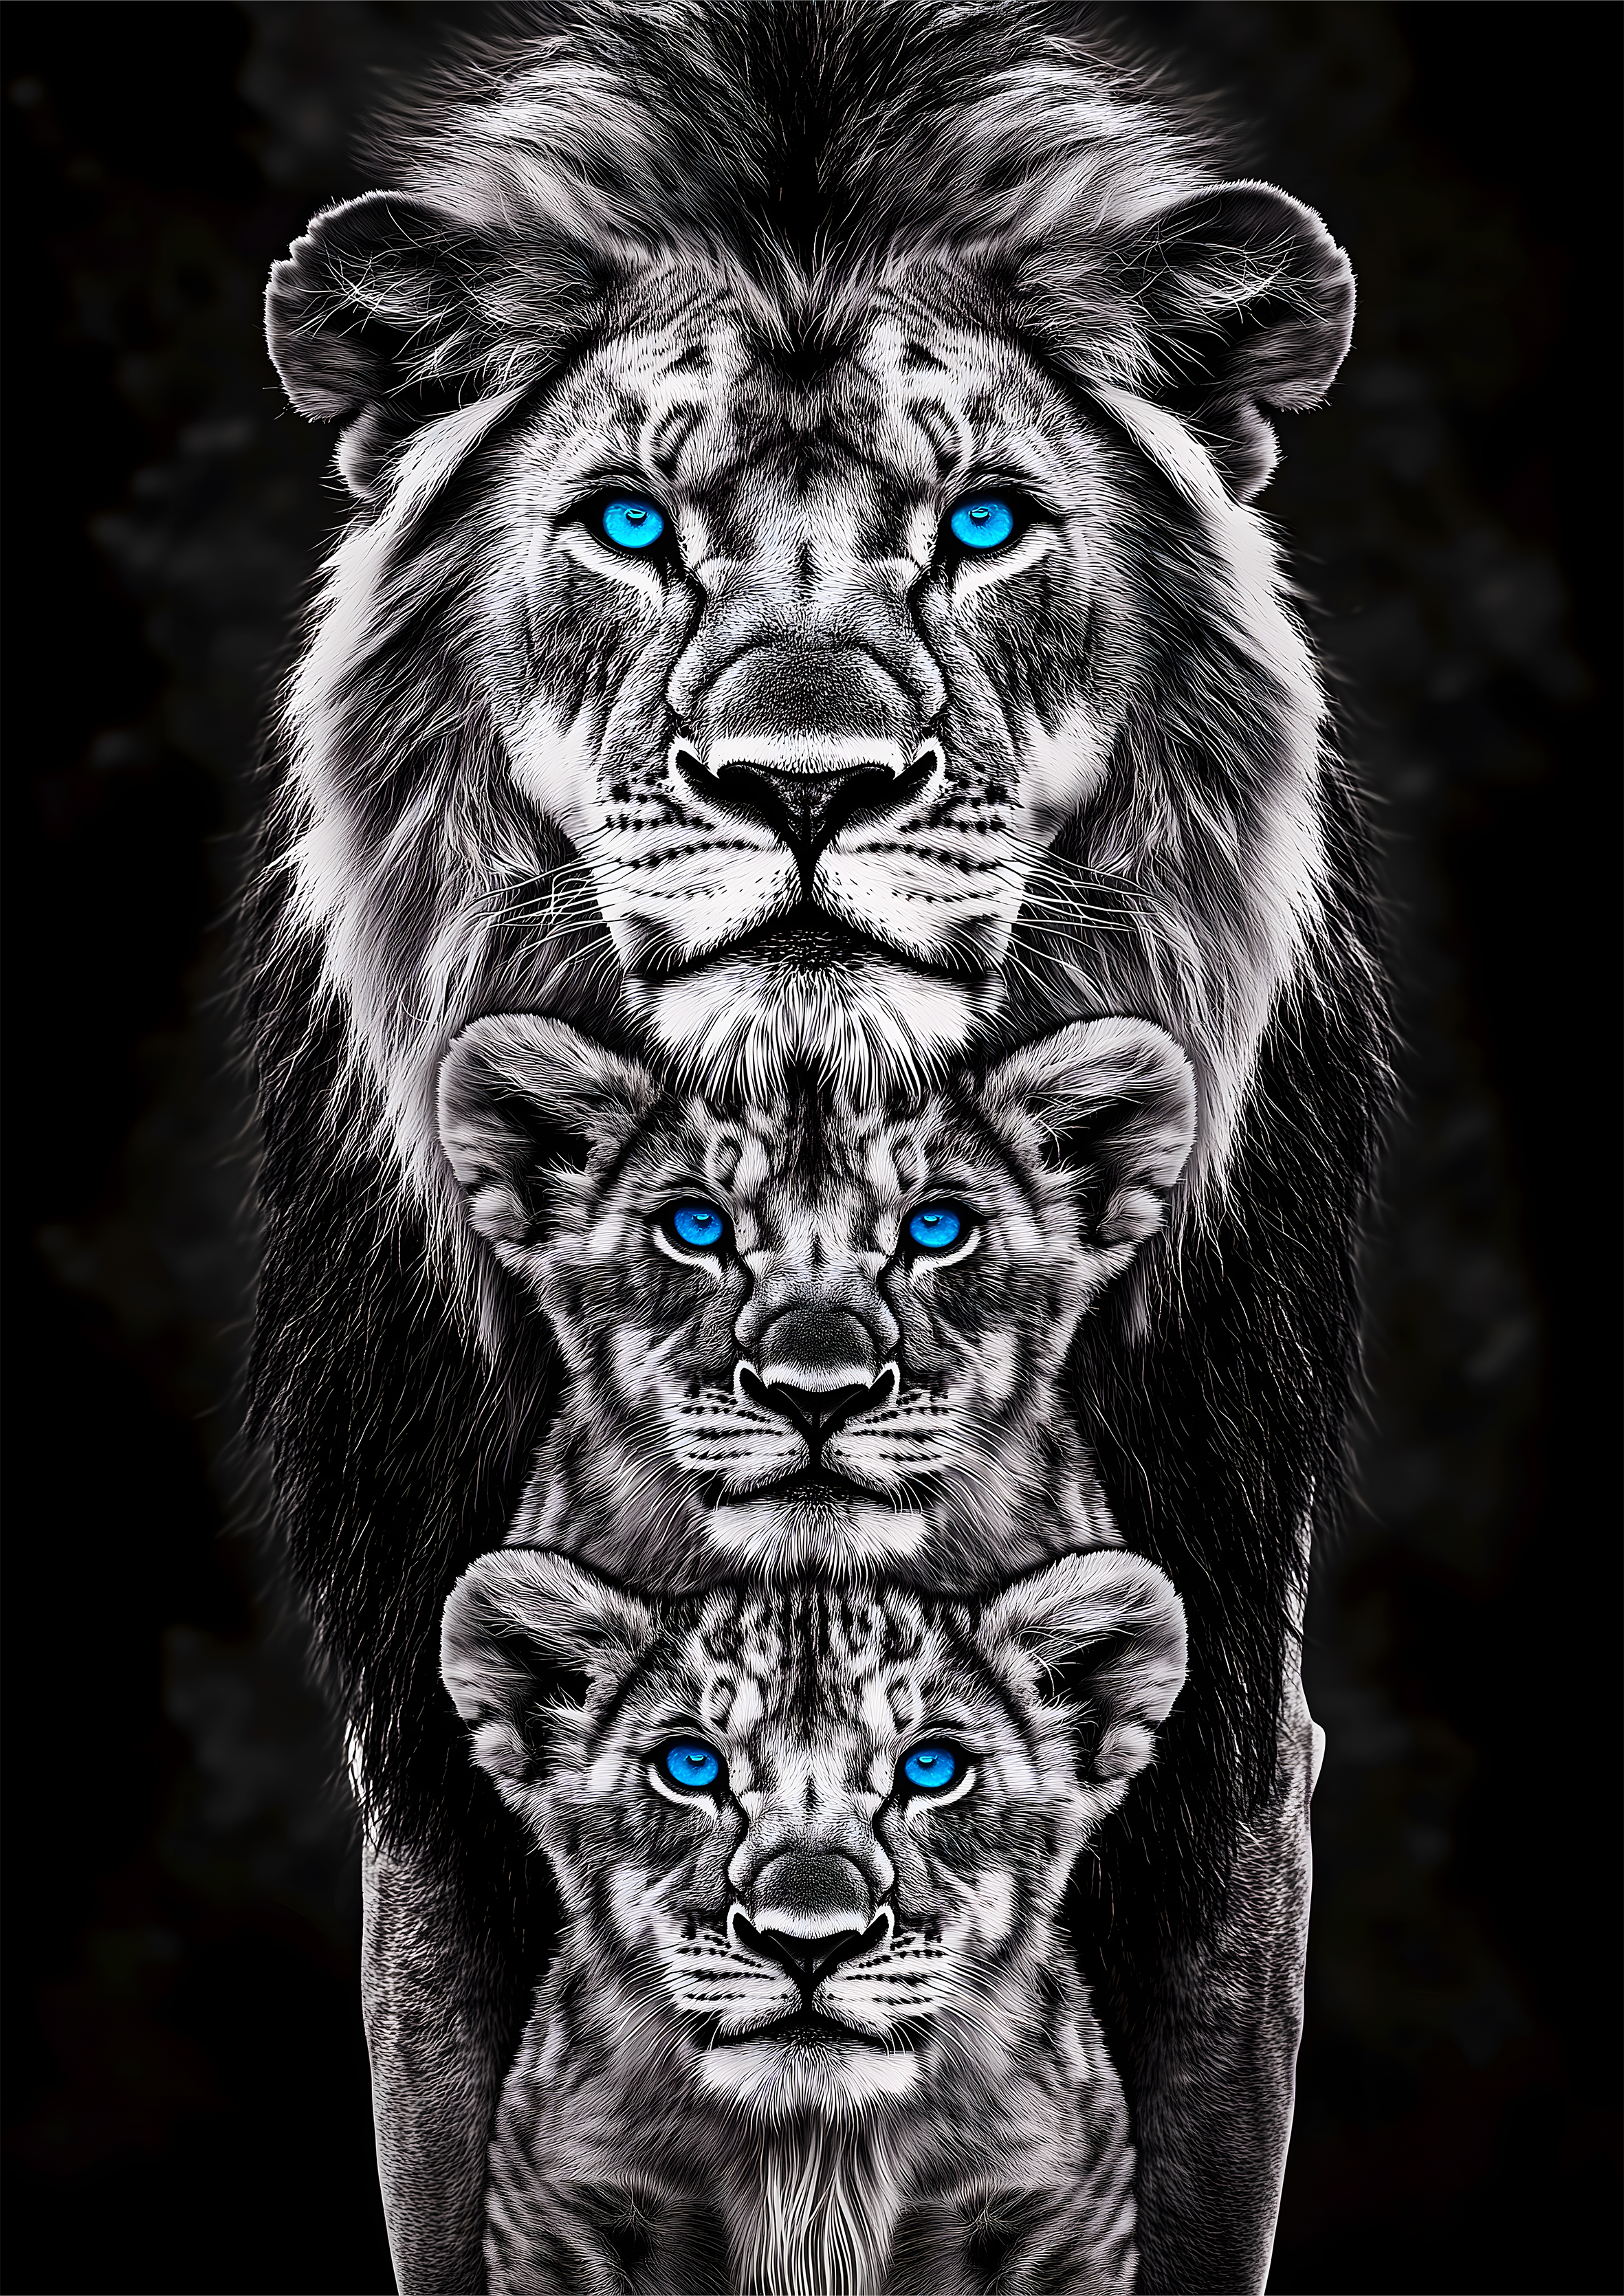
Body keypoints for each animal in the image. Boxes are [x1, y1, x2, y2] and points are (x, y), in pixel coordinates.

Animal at [441, 1545, 1189, 2295]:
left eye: (932, 1767)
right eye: (690, 1765)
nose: (808, 1944)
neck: (811, 2154)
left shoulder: (1062, 2212)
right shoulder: (559, 2208)